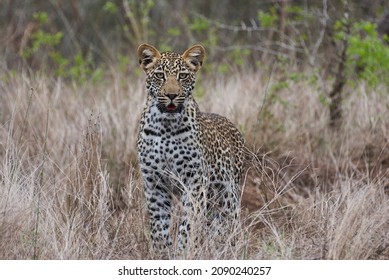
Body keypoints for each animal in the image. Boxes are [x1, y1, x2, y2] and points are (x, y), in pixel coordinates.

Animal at [136, 43, 244, 254]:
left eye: (183, 76)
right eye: (159, 75)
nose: (171, 95)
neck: (166, 127)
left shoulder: (194, 182)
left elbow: (188, 225)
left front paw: (184, 252)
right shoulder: (154, 183)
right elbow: (159, 228)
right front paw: (163, 254)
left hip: (228, 198)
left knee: (230, 228)